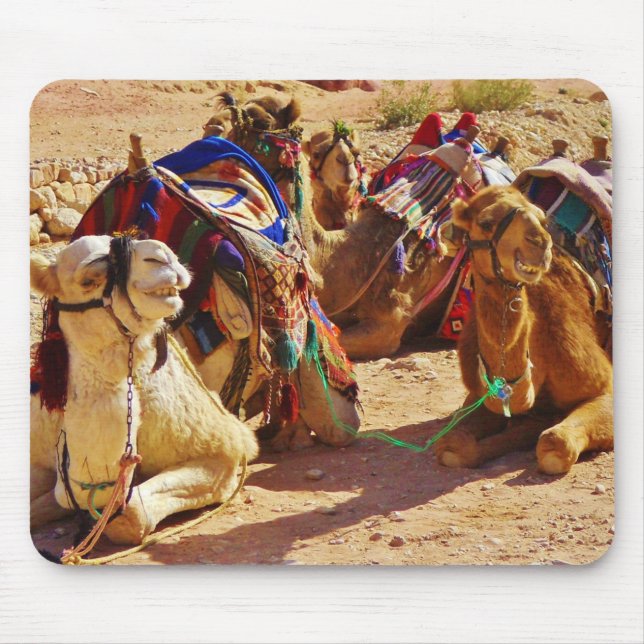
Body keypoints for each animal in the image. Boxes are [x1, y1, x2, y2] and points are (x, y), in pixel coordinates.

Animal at [433, 185, 612, 474]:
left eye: (542, 218)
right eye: (485, 222)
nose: (539, 244)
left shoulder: (604, 387)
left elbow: (554, 442)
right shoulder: (479, 395)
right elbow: (453, 445)